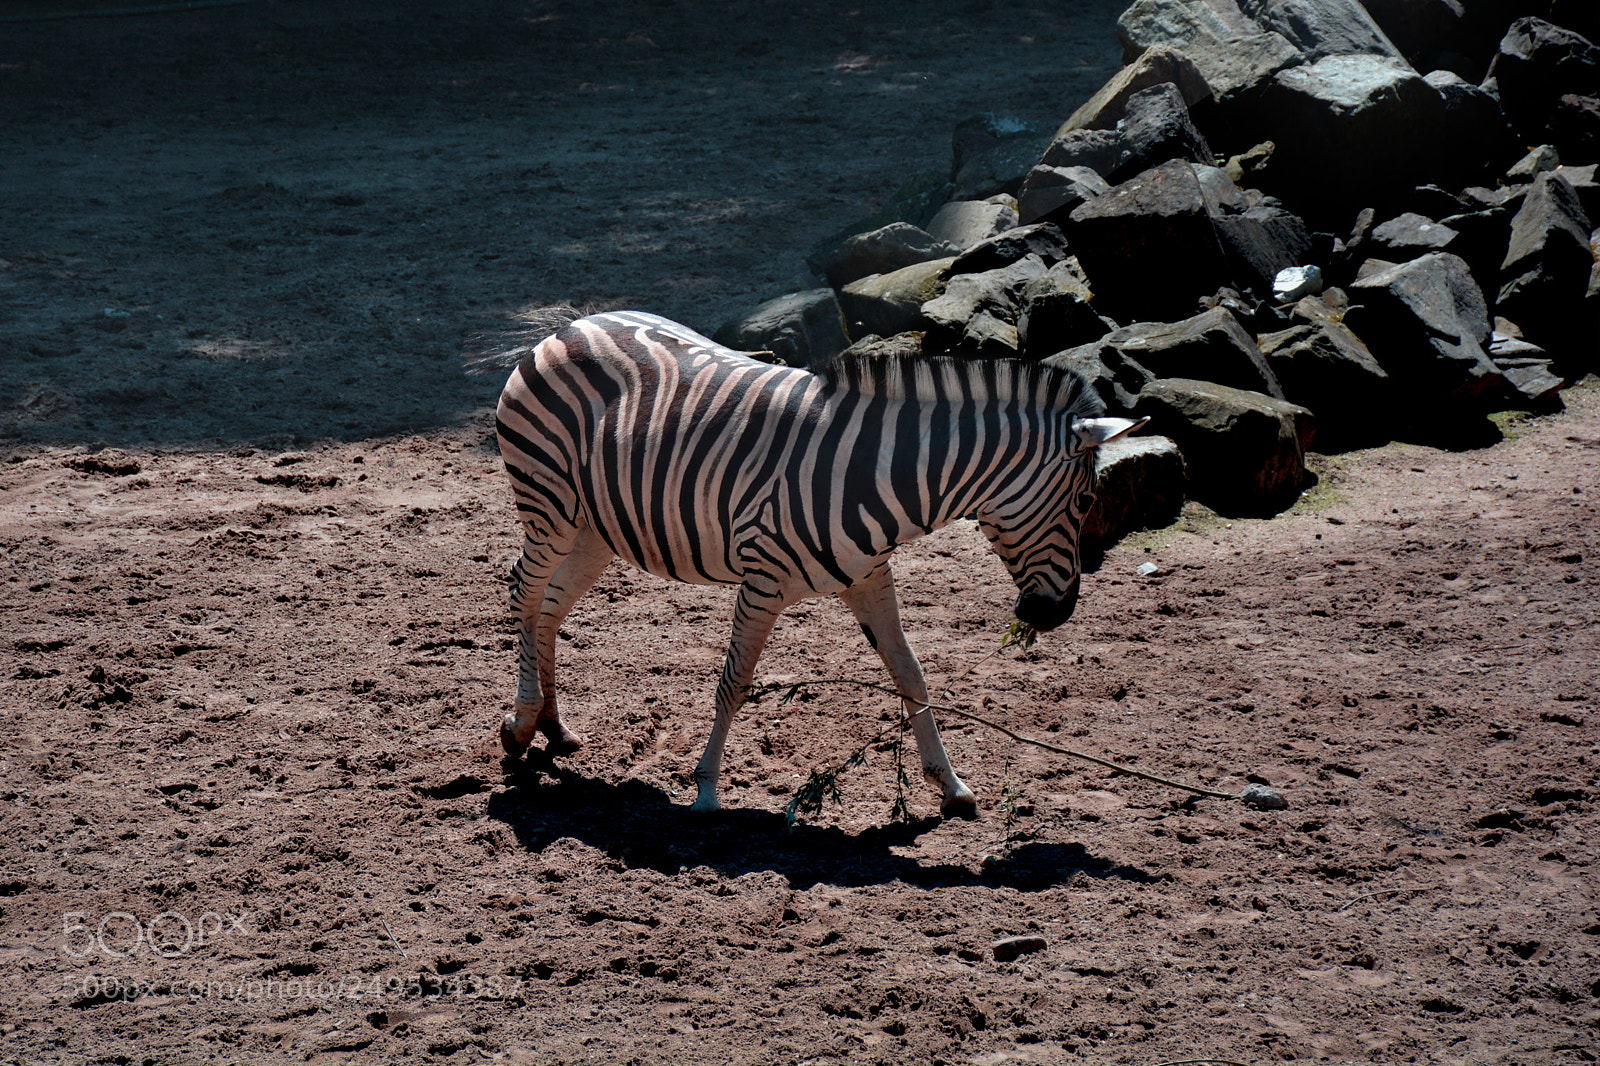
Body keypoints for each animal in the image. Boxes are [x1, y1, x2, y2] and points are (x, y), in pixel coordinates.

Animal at [492, 309, 1142, 817]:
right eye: (1086, 501)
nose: (1056, 614)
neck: (880, 473)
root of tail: (575, 323)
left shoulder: (870, 576)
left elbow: (911, 675)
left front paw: (949, 784)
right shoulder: (761, 580)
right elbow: (734, 681)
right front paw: (705, 790)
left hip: (597, 527)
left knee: (550, 607)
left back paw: (553, 726)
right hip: (549, 505)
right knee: (524, 593)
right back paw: (521, 725)